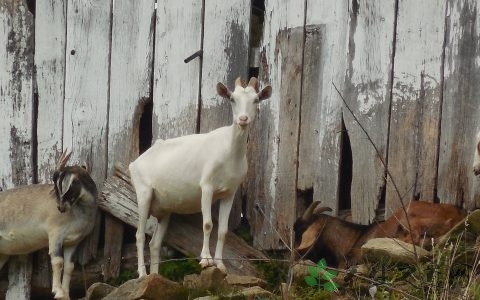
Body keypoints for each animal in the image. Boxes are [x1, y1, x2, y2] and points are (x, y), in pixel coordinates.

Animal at [0, 151, 97, 298]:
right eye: (56, 186)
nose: (60, 207)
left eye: (63, 185)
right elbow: (58, 262)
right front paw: (58, 292)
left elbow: (69, 266)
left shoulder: (73, 242)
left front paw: (66, 295)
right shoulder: (55, 233)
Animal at [131, 76, 272, 276]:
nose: (243, 119)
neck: (229, 151)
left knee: (154, 243)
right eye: (232, 99)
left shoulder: (229, 193)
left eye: (256, 99)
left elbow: (223, 230)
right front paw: (206, 260)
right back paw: (143, 274)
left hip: (164, 209)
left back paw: (155, 275)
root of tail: (134, 163)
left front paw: (220, 265)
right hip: (144, 194)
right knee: (139, 235)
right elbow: (207, 224)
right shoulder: (206, 186)